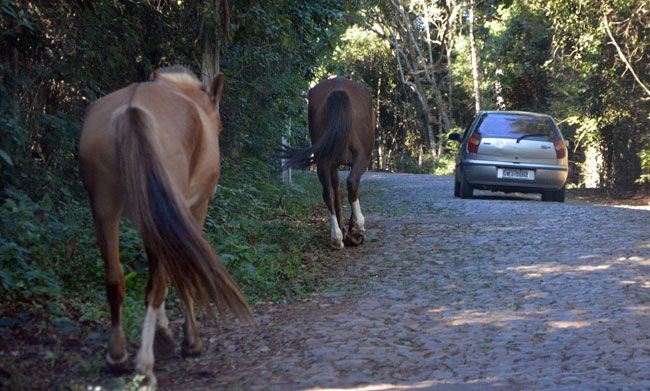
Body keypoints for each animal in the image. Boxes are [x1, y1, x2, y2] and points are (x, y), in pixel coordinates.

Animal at [78, 66, 253, 388]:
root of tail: (132, 109)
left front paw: (163, 333)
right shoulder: (194, 211)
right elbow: (181, 274)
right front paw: (188, 340)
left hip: (104, 211)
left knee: (115, 279)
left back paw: (117, 356)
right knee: (157, 282)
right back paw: (145, 366)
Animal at [280, 76, 374, 250]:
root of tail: (338, 90)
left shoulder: (332, 164)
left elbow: (336, 191)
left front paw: (345, 231)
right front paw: (353, 231)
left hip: (322, 160)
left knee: (328, 192)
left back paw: (336, 237)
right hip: (361, 157)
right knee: (351, 183)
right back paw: (357, 228)